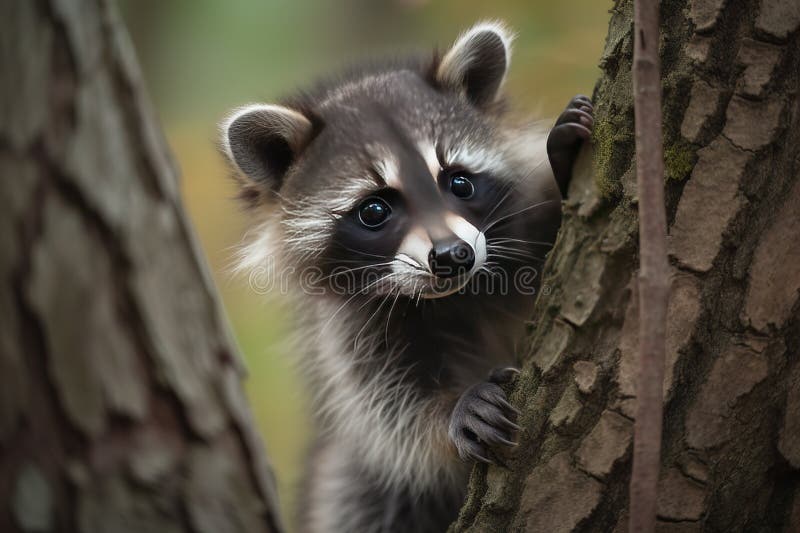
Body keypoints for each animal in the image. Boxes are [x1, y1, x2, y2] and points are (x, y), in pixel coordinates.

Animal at [221, 21, 593, 533]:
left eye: (460, 182)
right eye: (375, 210)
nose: (454, 256)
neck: (458, 294)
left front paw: (561, 163)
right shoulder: (348, 330)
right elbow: (387, 409)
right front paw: (450, 411)